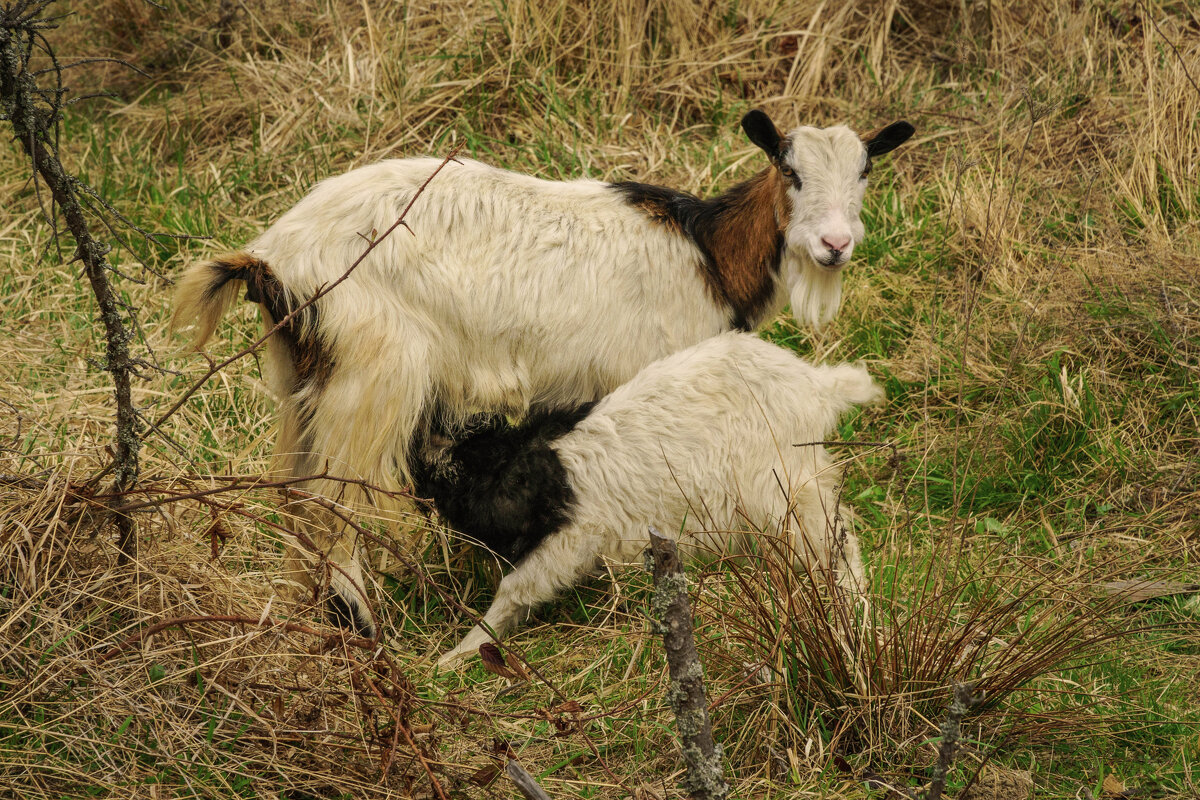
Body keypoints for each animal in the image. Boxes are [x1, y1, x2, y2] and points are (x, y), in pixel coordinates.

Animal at [412, 331, 883, 662]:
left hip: (783, 490)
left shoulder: (571, 539)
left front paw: (456, 654)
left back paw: (855, 611)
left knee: (838, 543)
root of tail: (817, 386)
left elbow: (514, 590)